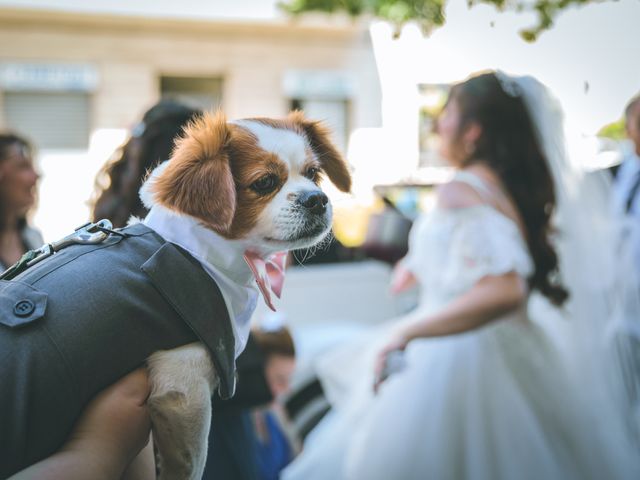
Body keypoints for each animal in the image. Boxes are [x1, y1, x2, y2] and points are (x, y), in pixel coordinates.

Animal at [0, 110, 350, 478]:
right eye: (265, 182)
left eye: (313, 174)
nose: (317, 199)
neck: (200, 252)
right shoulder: (183, 386)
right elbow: (188, 463)